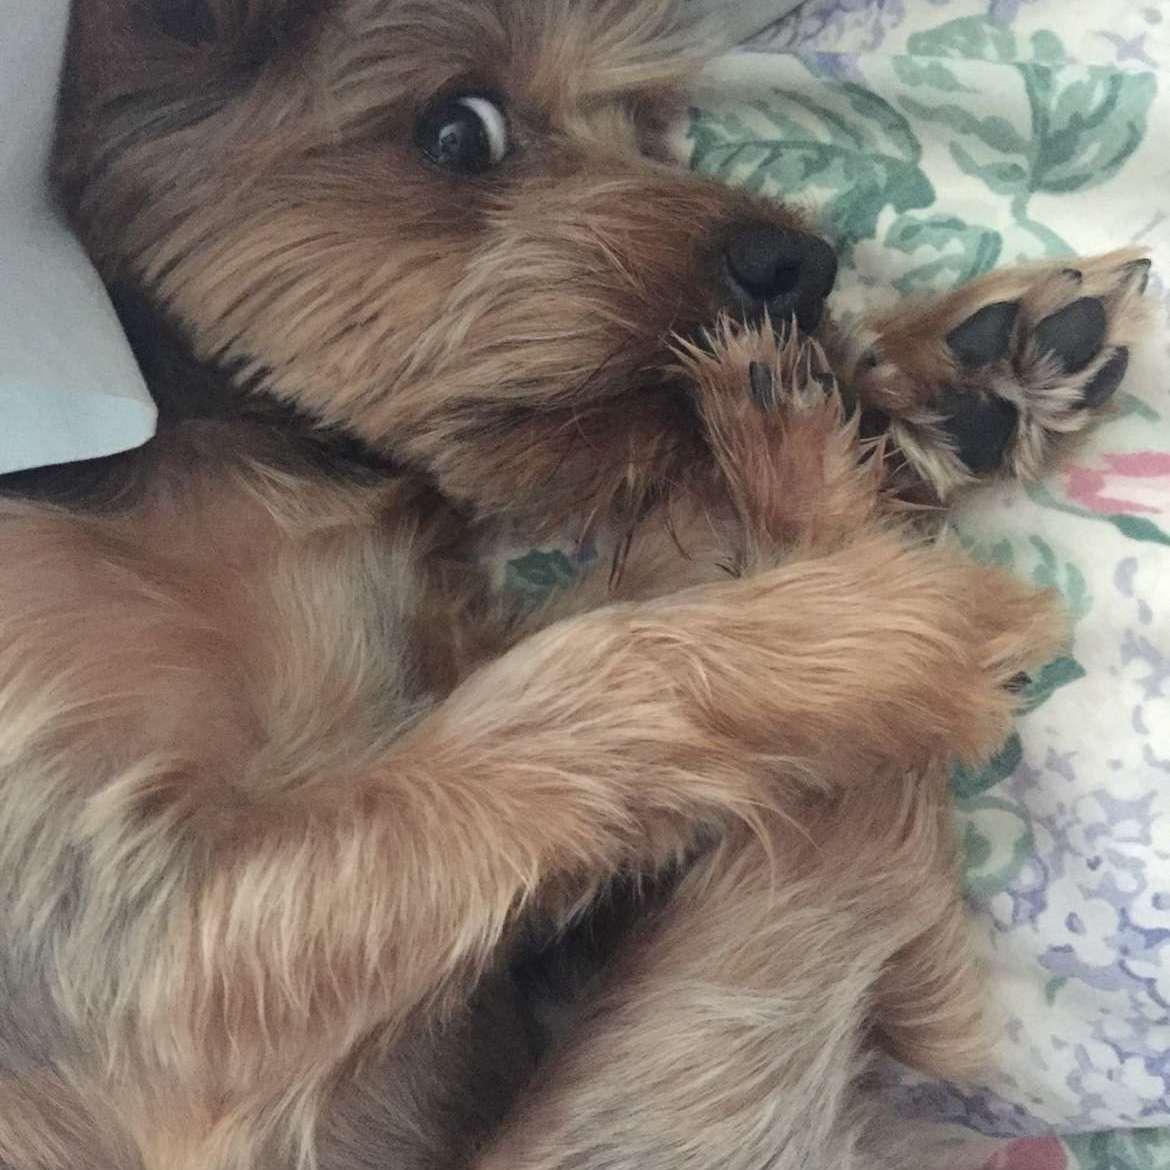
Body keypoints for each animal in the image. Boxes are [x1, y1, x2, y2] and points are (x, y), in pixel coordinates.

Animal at [0, 0, 1150, 1166]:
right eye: (459, 131)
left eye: (644, 126)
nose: (805, 261)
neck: (223, 444)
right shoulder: (152, 963)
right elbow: (583, 671)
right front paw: (877, 624)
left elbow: (598, 629)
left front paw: (906, 381)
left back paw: (947, 386)